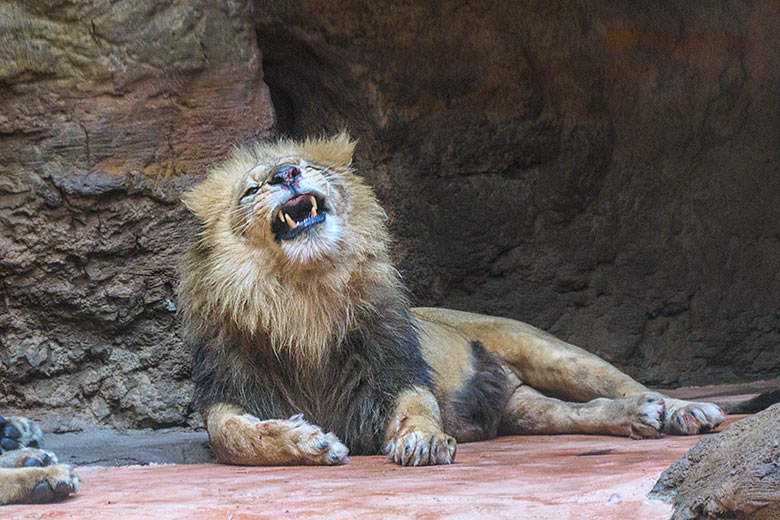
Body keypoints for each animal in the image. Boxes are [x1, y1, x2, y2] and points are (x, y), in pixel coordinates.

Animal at [178, 134, 780, 468]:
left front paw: (422, 443)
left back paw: (680, 410)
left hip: (543, 348)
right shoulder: (229, 393)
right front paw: (307, 442)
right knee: (575, 413)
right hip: (521, 408)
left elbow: (417, 408)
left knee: (624, 382)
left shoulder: (395, 369)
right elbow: (234, 437)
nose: (287, 173)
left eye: (308, 166)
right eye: (252, 189)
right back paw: (636, 420)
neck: (303, 296)